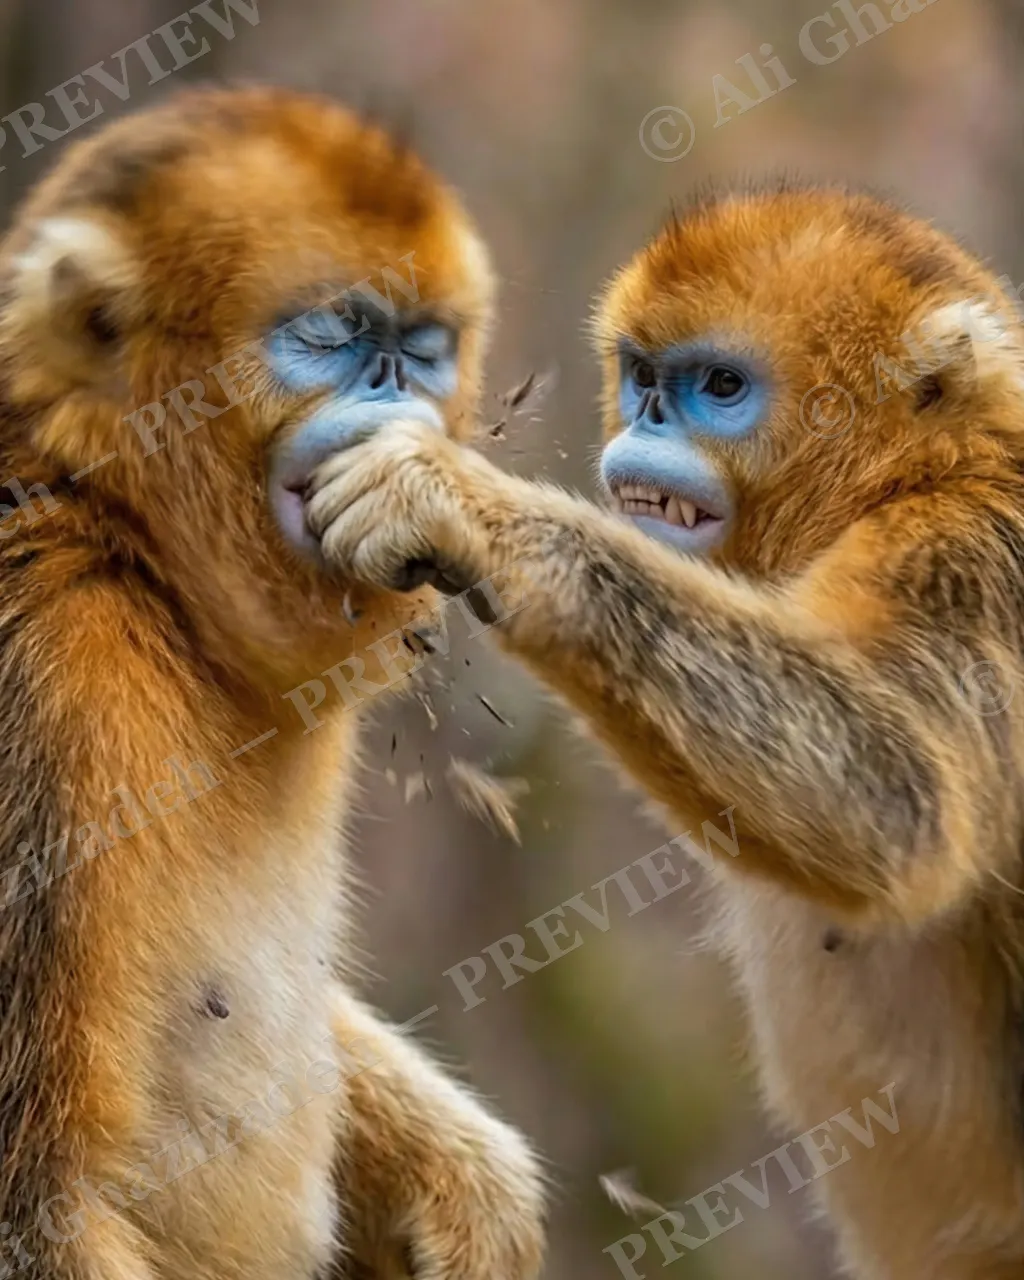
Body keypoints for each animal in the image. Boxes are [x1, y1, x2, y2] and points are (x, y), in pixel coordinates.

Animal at [0, 85, 545, 1280]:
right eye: (334, 338)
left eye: (421, 348)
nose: (395, 384)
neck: (127, 548)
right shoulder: (44, 670)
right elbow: (40, 1194)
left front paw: (479, 1196)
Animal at [304, 183, 1024, 1280]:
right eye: (644, 377)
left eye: (718, 386)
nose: (642, 422)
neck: (920, 475)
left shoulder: (971, 555)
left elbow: (900, 805)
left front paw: (478, 517)